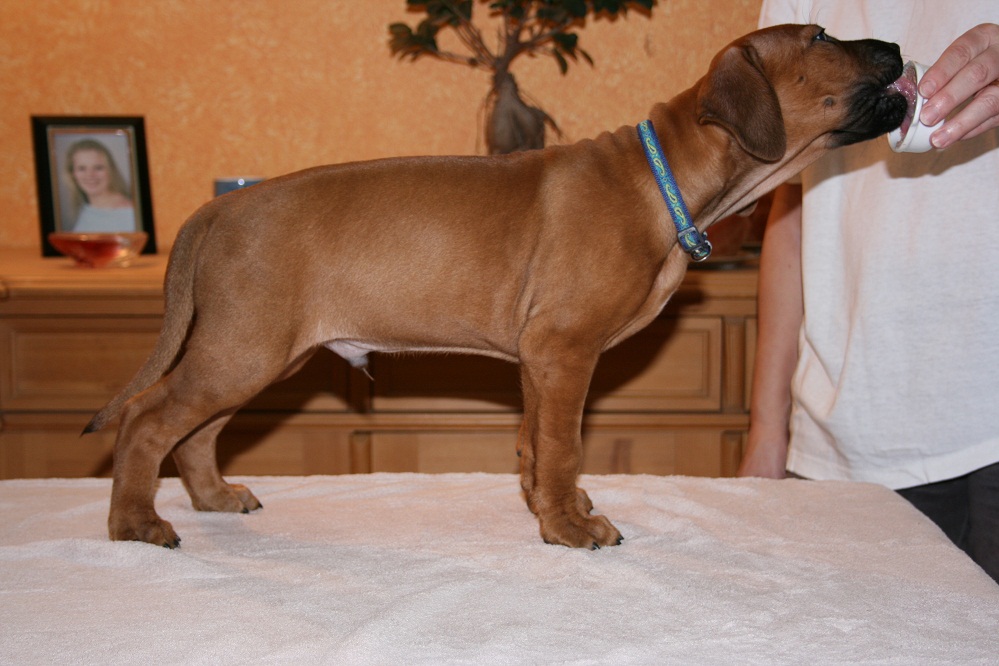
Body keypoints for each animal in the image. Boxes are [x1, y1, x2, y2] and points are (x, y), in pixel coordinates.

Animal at [86, 24, 907, 549]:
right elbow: (564, 444)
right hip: (243, 348)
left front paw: (554, 508)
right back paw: (135, 523)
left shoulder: (543, 359)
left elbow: (536, 443)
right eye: (821, 38)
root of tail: (217, 206)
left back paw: (214, 497)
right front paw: (571, 529)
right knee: (148, 419)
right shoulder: (564, 350)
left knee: (195, 431)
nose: (899, 49)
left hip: (258, 351)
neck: (666, 178)